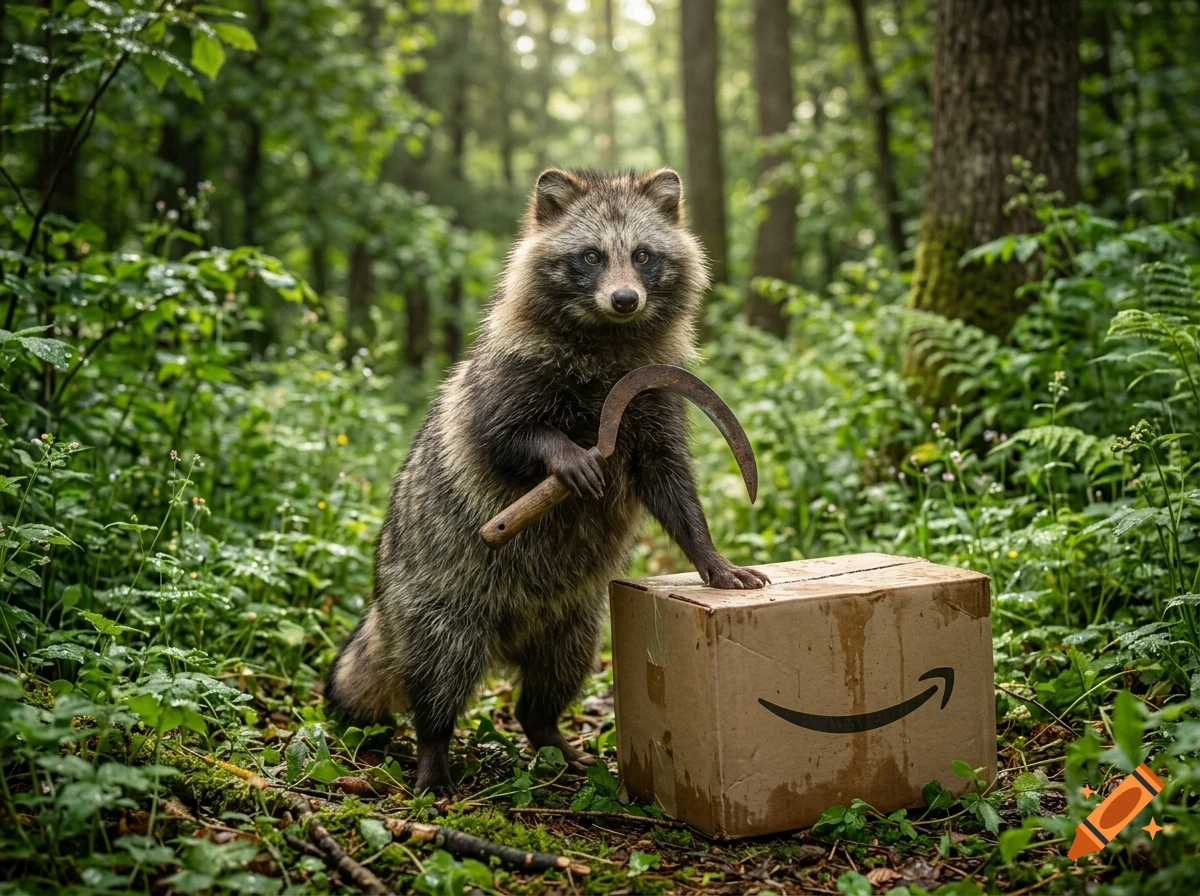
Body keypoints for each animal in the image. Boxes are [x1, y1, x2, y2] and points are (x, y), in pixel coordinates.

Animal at [325, 168, 769, 795]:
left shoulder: (656, 401)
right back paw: (434, 748)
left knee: (554, 676)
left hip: (574, 619)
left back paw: (547, 730)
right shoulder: (506, 375)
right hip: (439, 596)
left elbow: (669, 482)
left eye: (643, 255)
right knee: (441, 668)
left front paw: (709, 555)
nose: (625, 299)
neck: (607, 337)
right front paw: (563, 453)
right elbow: (500, 436)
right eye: (591, 256)